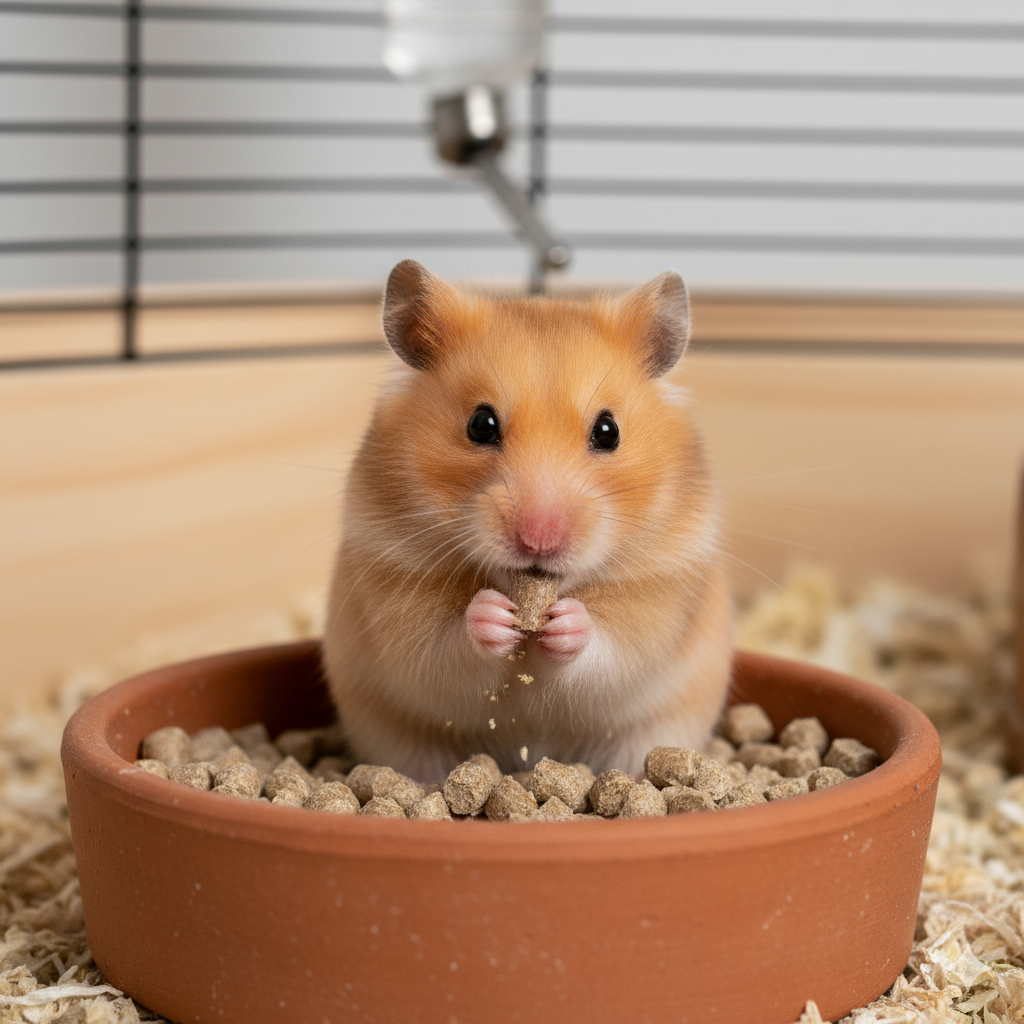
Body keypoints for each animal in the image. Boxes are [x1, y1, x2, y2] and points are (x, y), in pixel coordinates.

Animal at [322, 259, 732, 781]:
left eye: (609, 431)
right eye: (480, 424)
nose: (539, 541)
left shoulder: (660, 591)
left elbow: (609, 648)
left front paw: (566, 622)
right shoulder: (394, 581)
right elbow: (446, 646)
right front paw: (493, 614)